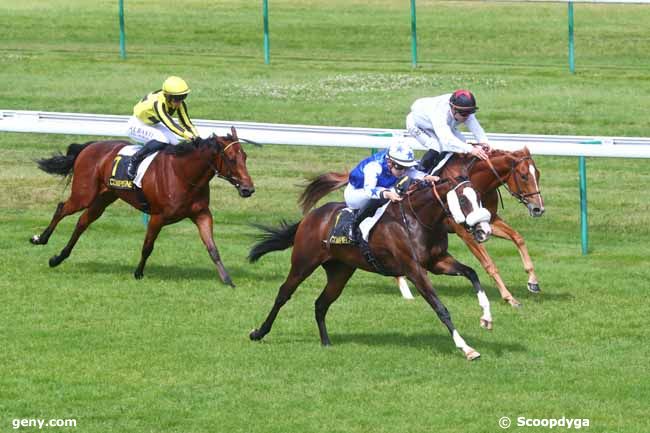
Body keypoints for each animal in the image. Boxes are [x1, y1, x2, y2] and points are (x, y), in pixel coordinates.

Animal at [29, 128, 256, 286]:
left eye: (245, 157)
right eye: (231, 159)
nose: (248, 189)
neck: (183, 173)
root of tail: (89, 146)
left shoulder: (201, 214)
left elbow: (212, 248)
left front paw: (227, 280)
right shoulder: (157, 217)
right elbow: (148, 246)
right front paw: (138, 273)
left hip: (103, 198)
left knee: (82, 222)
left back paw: (58, 258)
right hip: (84, 195)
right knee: (61, 209)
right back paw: (40, 239)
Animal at [248, 156, 492, 362]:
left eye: (479, 198)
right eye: (463, 199)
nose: (484, 231)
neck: (417, 220)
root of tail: (312, 216)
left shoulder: (437, 262)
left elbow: (472, 273)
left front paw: (486, 317)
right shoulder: (414, 269)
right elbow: (440, 307)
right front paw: (466, 348)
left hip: (340, 271)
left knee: (321, 303)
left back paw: (326, 342)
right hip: (303, 263)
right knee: (283, 294)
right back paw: (259, 332)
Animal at [298, 147, 540, 306]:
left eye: (538, 174)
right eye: (524, 175)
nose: (538, 208)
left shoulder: (487, 220)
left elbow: (518, 238)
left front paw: (533, 282)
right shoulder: (463, 229)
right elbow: (488, 263)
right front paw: (509, 297)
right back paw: (404, 287)